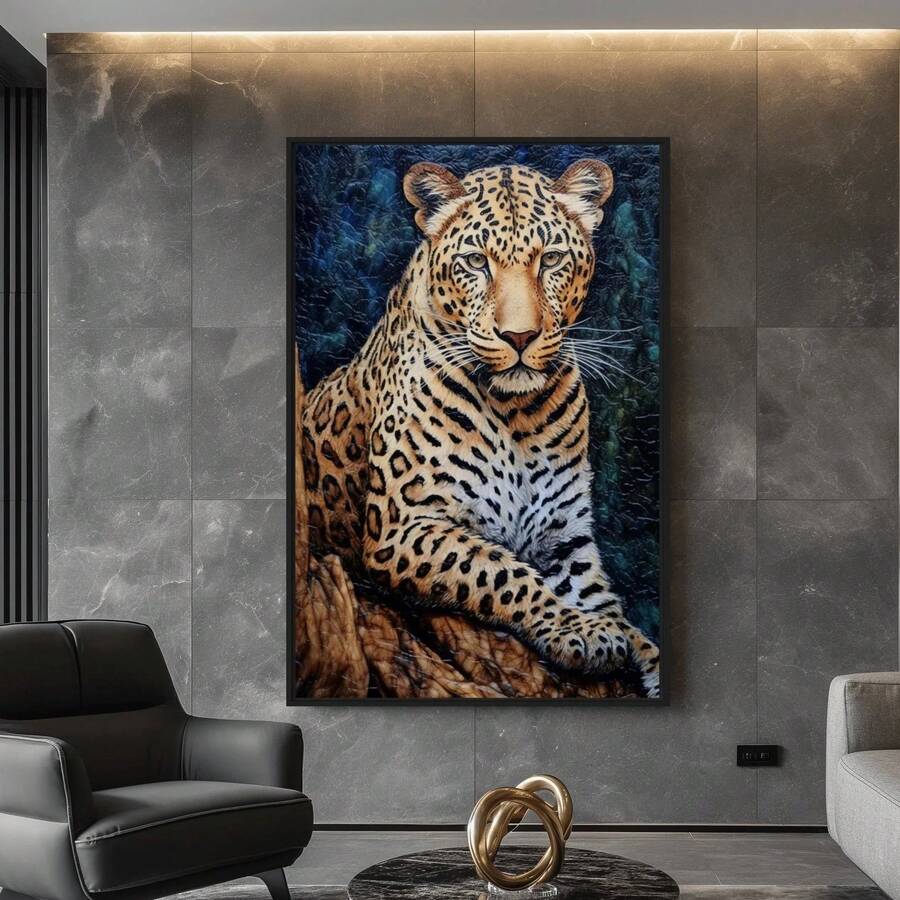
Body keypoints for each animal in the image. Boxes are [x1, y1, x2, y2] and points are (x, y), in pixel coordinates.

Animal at [300, 156, 660, 697]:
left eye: (551, 259)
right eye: (475, 262)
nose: (520, 336)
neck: (517, 413)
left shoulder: (563, 537)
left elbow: (606, 603)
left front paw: (636, 648)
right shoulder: (404, 525)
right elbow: (500, 571)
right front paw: (580, 631)